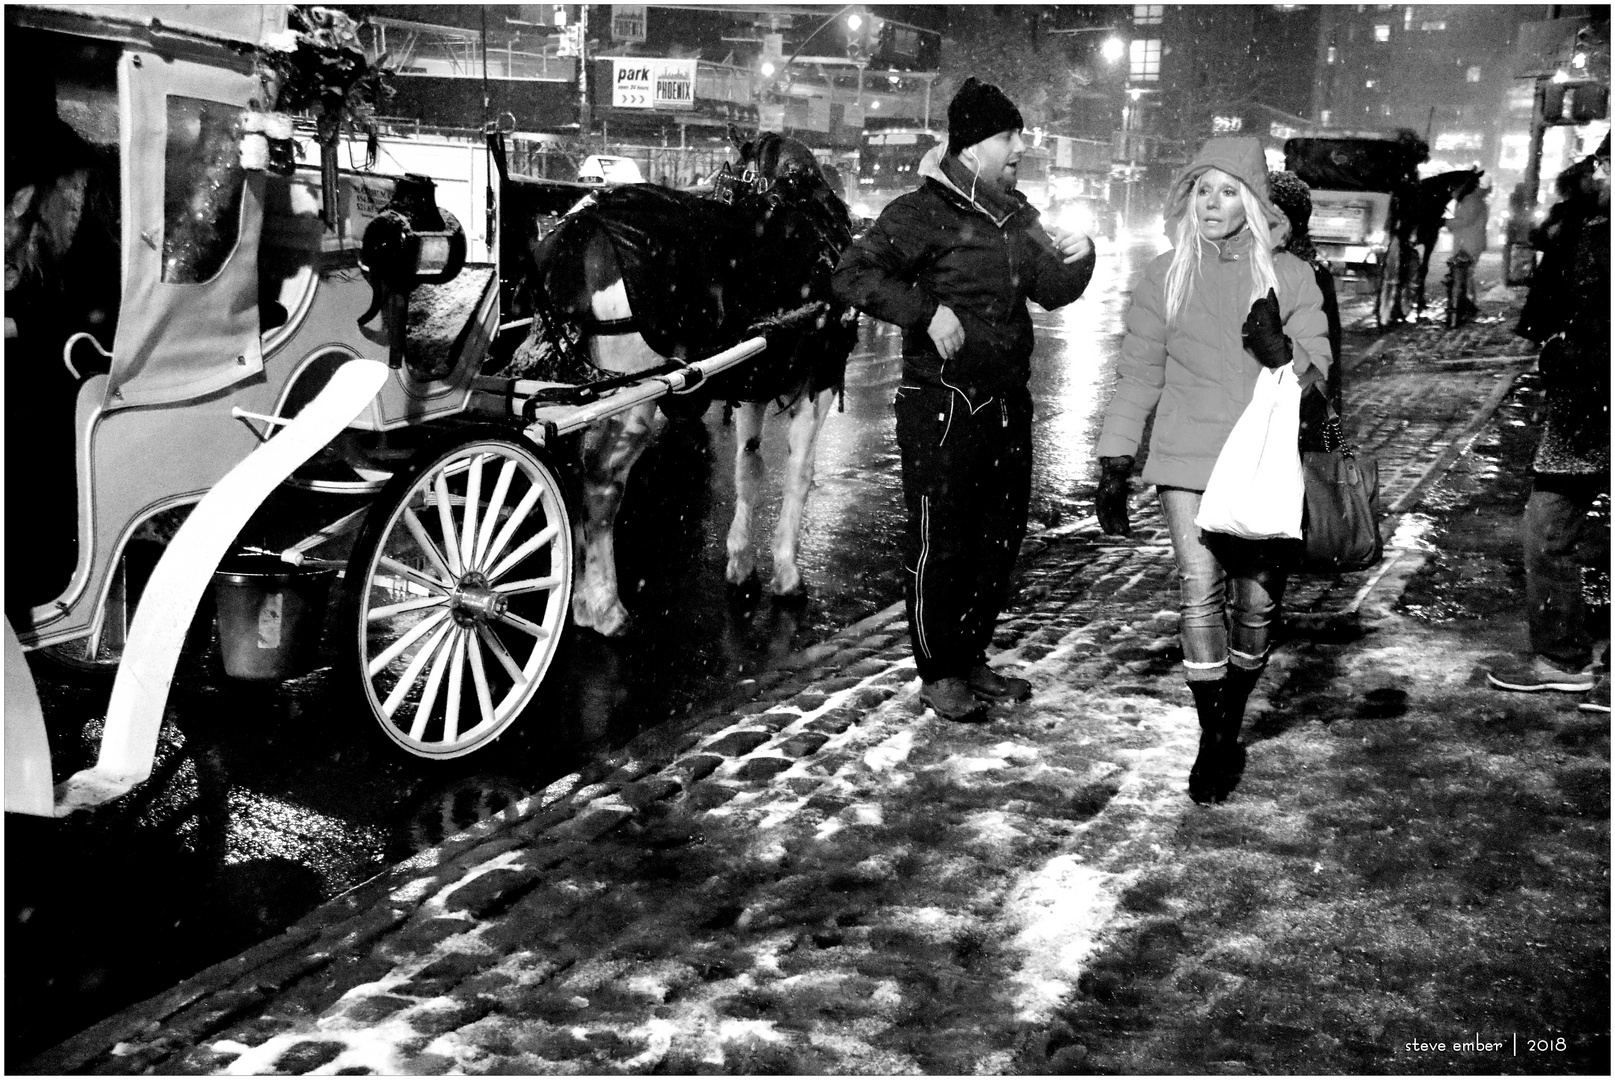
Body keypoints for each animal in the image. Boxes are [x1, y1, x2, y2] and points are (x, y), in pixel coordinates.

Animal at [513, 130, 859, 636]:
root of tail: (578, 229)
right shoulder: (820, 379)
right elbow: (800, 473)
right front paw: (787, 573)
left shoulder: (752, 379)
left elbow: (748, 467)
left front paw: (741, 563)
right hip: (632, 395)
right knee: (600, 484)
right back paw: (605, 605)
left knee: (572, 470)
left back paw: (579, 598)